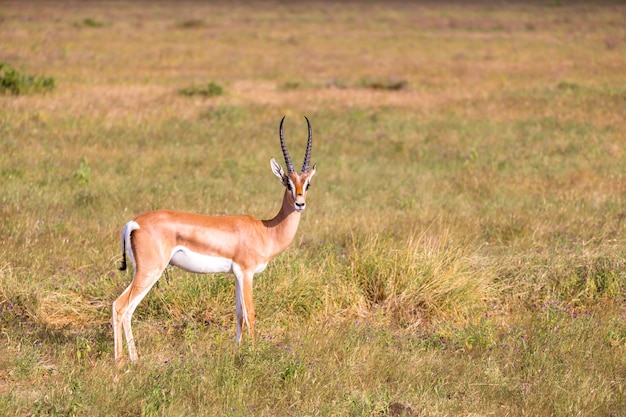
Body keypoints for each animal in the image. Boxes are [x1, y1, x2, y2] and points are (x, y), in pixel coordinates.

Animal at [112, 115, 314, 362]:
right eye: (288, 183)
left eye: (307, 184)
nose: (300, 204)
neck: (264, 230)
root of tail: (134, 223)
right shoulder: (246, 273)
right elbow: (251, 314)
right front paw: (254, 355)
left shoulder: (237, 275)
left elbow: (238, 314)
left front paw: (237, 352)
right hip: (150, 271)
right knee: (120, 306)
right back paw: (121, 362)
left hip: (143, 272)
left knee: (128, 309)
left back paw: (134, 359)